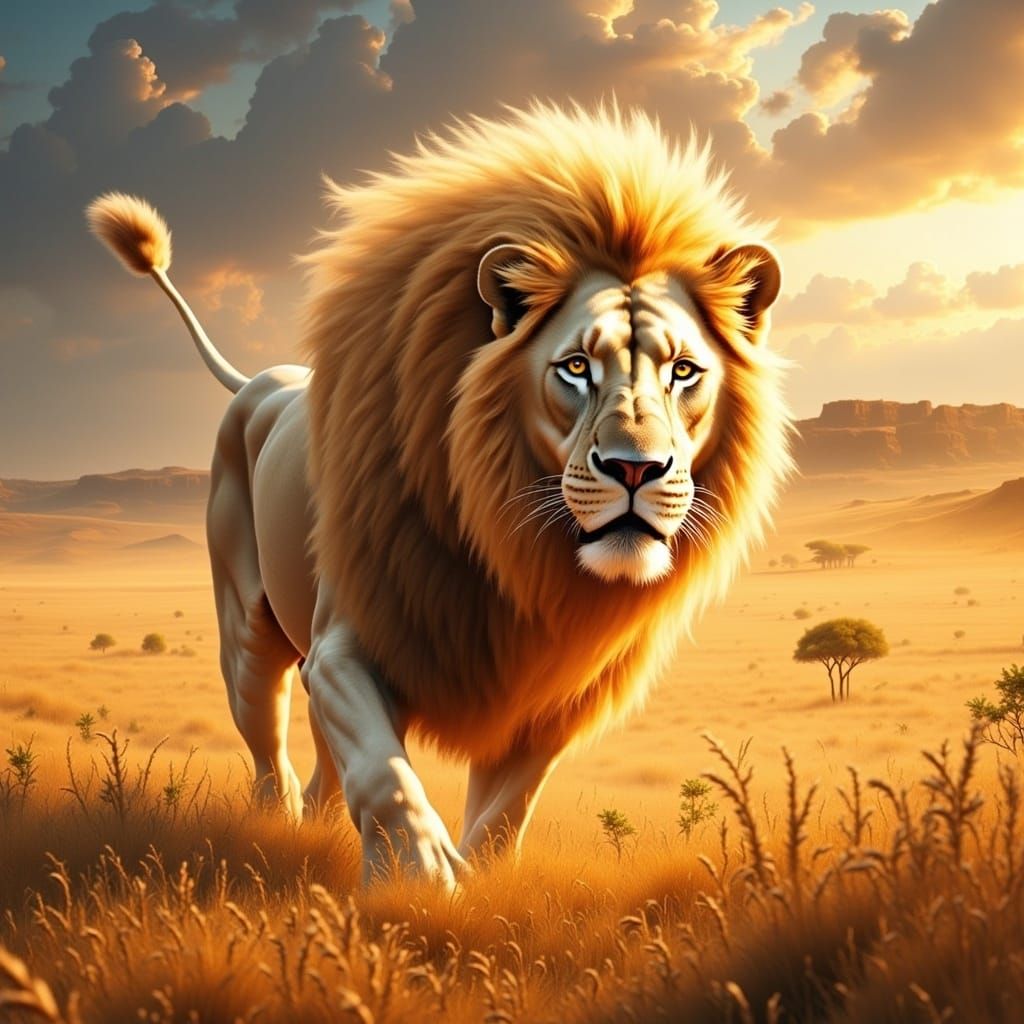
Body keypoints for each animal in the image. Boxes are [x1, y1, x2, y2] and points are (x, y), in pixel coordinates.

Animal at [87, 103, 792, 887]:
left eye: (684, 371)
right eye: (576, 366)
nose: (634, 469)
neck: (518, 561)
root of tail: (266, 381)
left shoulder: (545, 702)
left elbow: (507, 809)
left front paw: (477, 876)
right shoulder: (348, 645)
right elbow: (384, 774)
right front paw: (422, 873)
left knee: (322, 761)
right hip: (246, 631)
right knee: (270, 747)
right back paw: (279, 823)